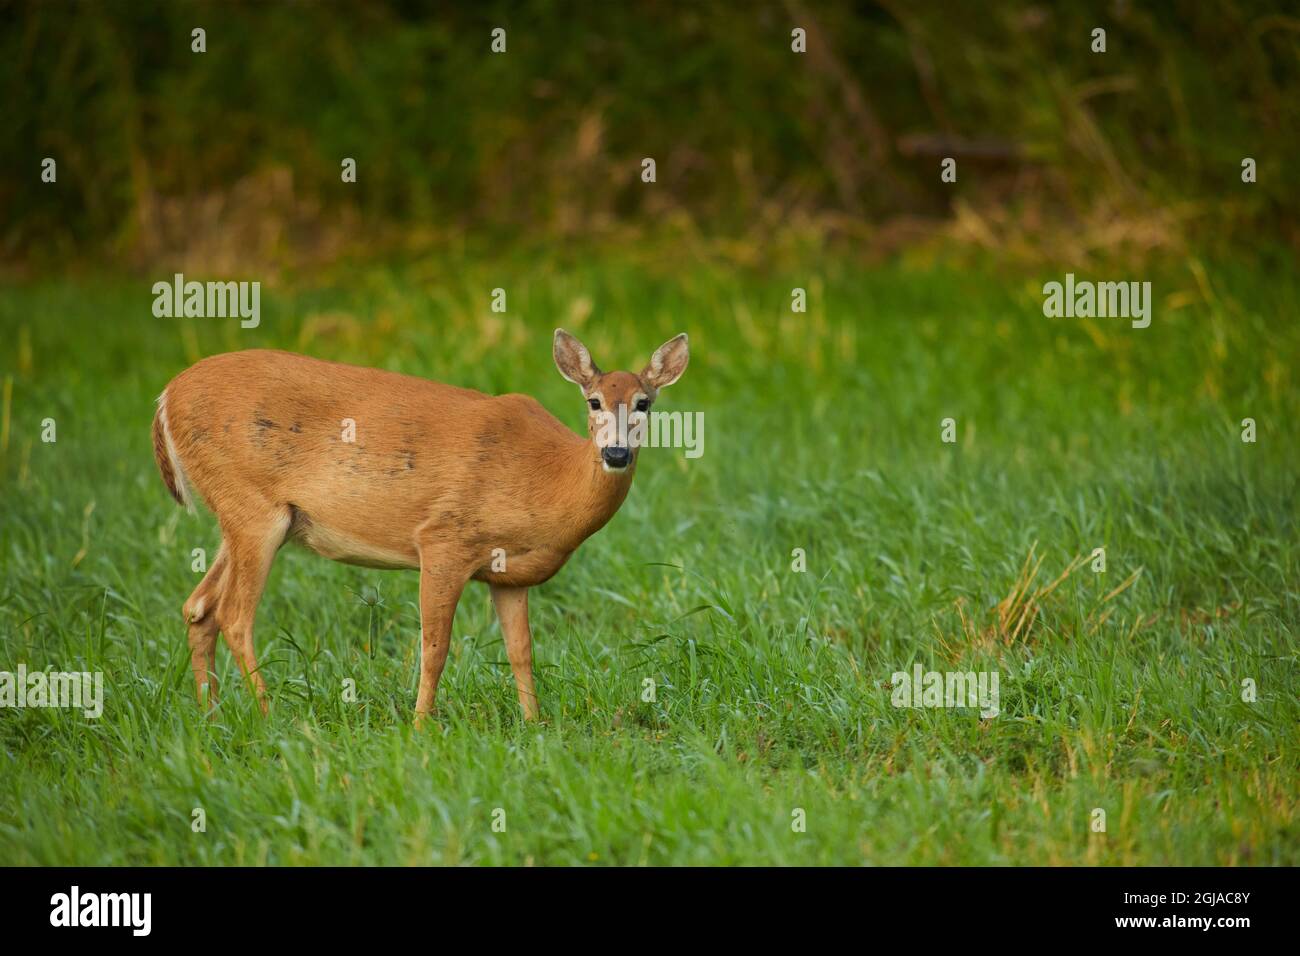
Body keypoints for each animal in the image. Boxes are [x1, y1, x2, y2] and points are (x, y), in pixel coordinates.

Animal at [152, 329, 689, 723]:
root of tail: (166, 397)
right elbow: (435, 647)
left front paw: (534, 724)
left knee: (198, 606)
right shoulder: (443, 538)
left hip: (248, 517)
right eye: (594, 401)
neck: (549, 478)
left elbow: (521, 650)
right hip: (252, 506)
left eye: (644, 402)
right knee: (235, 615)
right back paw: (270, 718)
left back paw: (210, 716)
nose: (615, 453)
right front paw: (420, 726)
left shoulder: (508, 574)